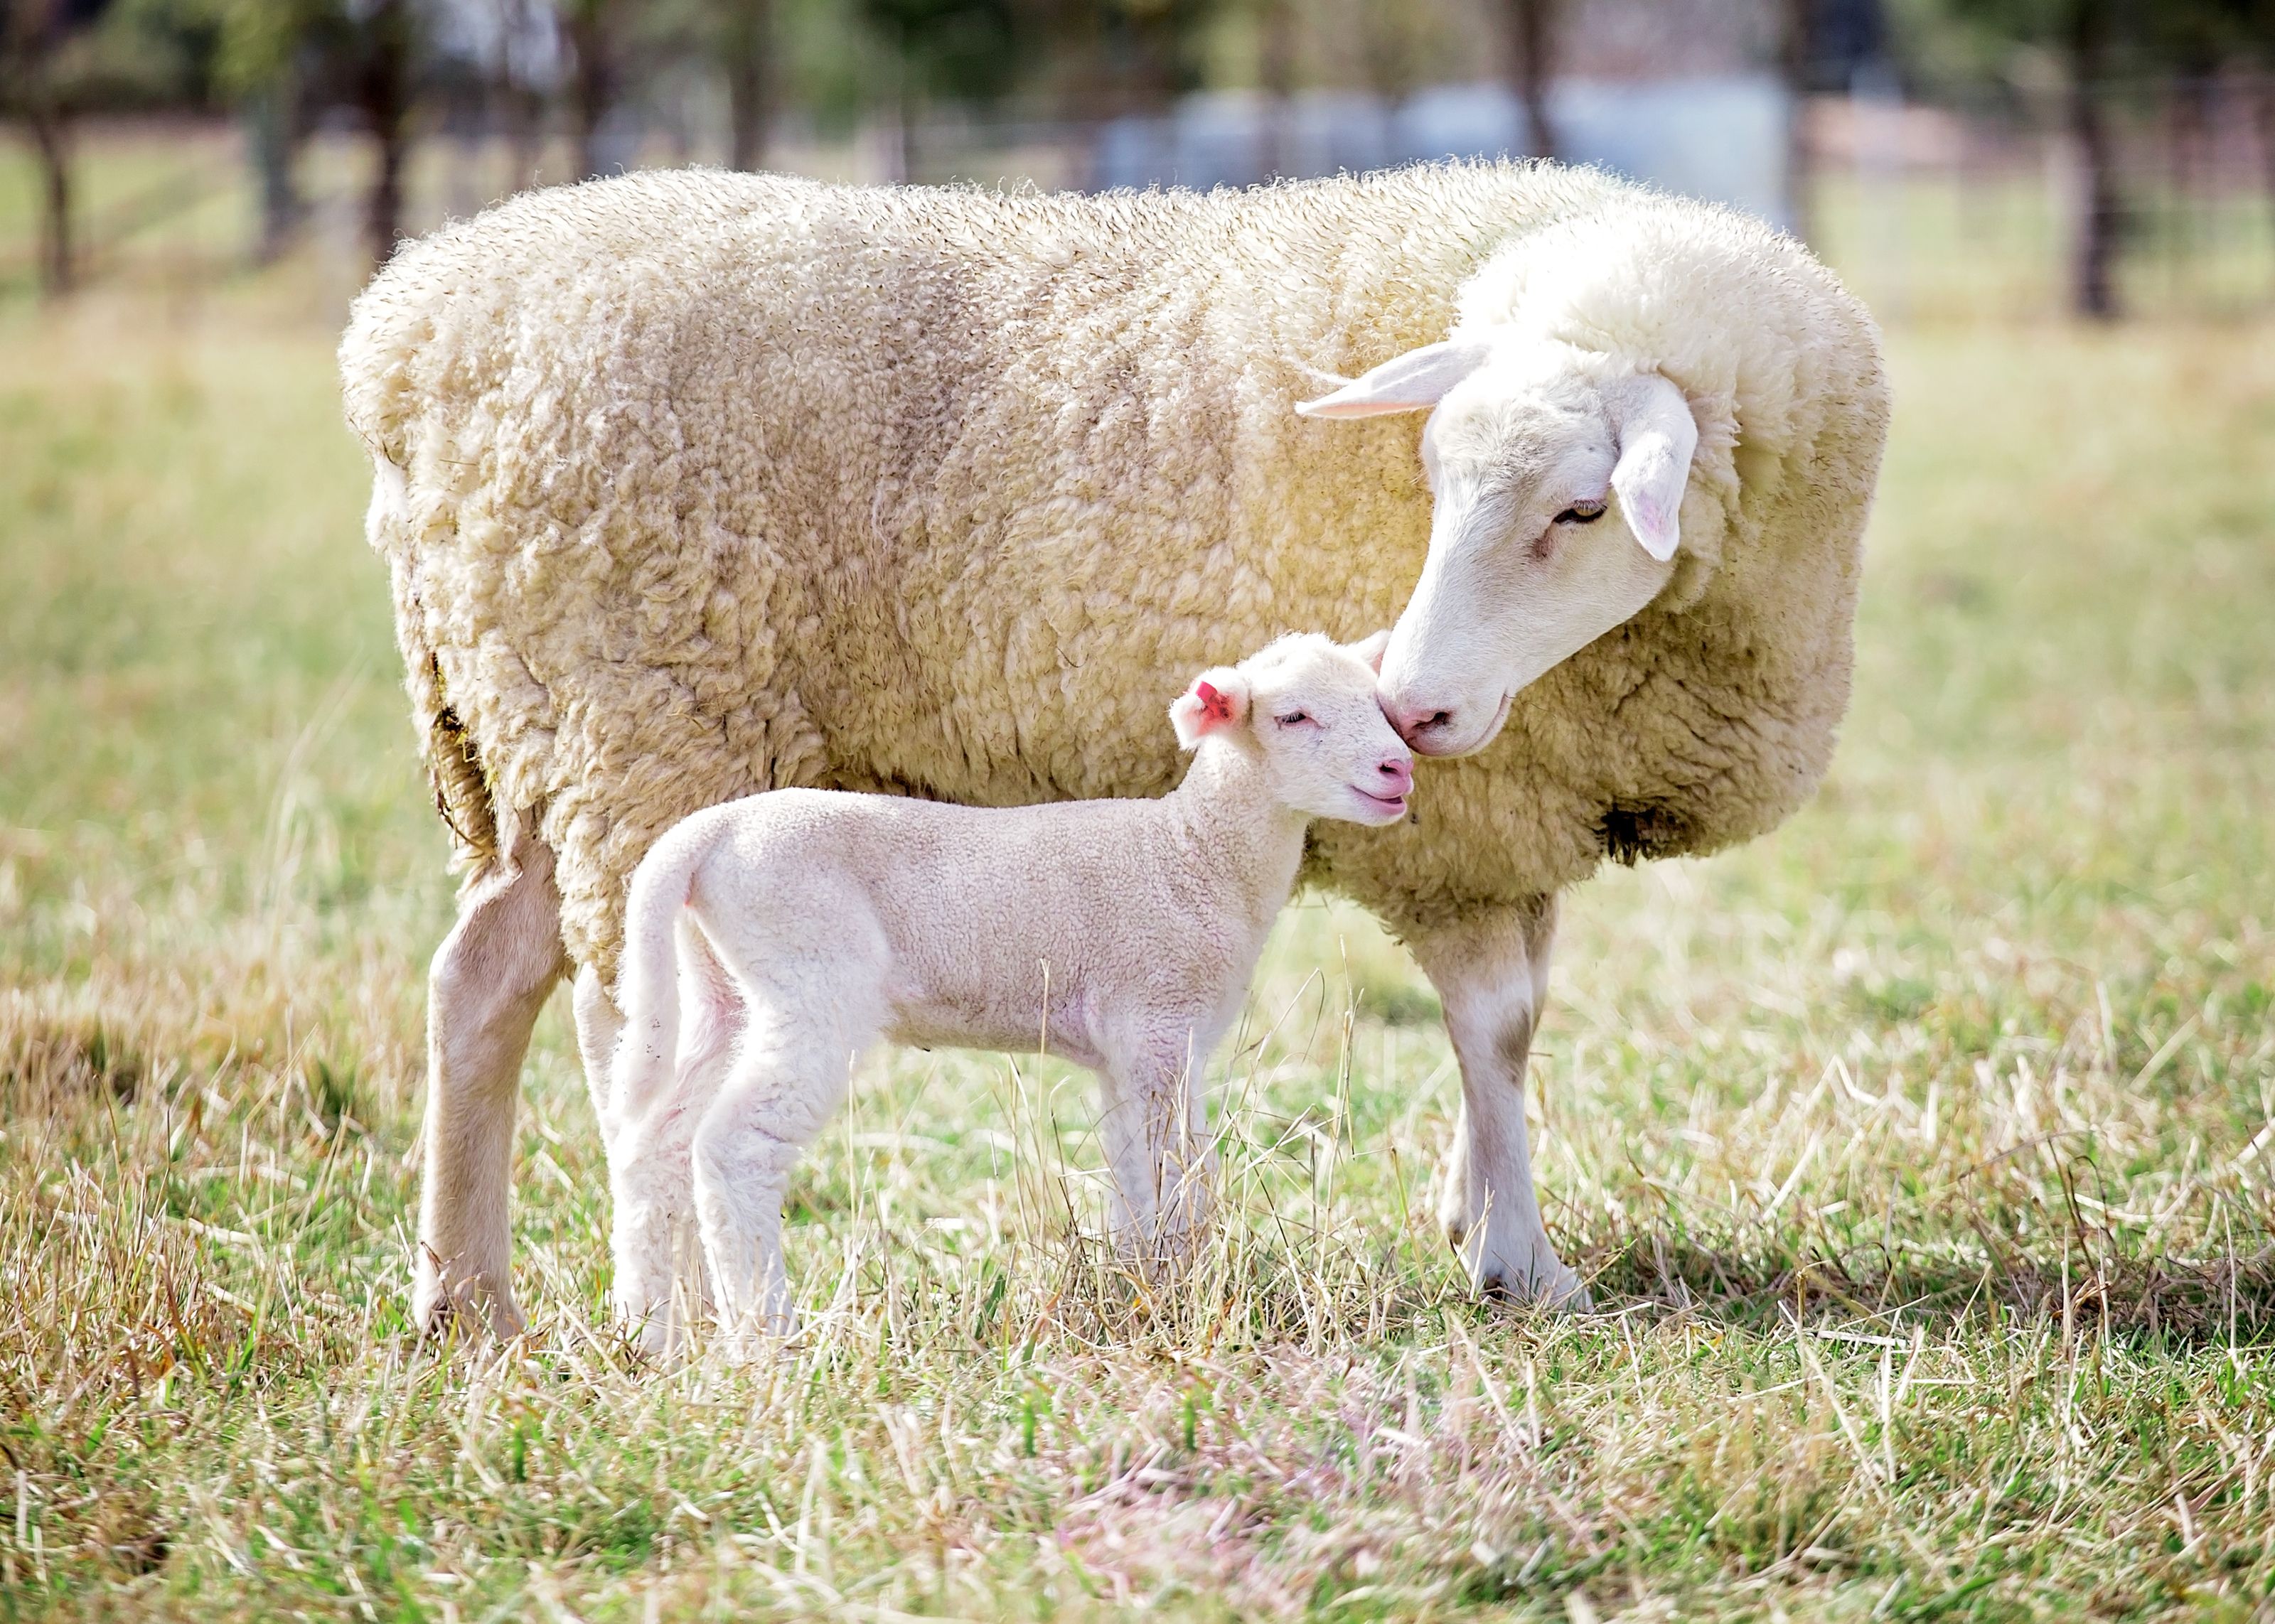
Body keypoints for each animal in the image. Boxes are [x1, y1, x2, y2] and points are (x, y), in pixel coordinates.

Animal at [602, 632, 1411, 1348]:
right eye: (1293, 716)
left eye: (1378, 703)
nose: (1397, 767)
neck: (1194, 852)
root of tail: (707, 833)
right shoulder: (1160, 1021)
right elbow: (1181, 1171)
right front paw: (1187, 1293)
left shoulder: (1126, 1050)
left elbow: (1130, 1174)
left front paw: (1140, 1291)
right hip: (809, 973)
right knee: (733, 1145)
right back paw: (766, 1337)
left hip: (723, 989)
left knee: (658, 1145)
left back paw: (649, 1335)